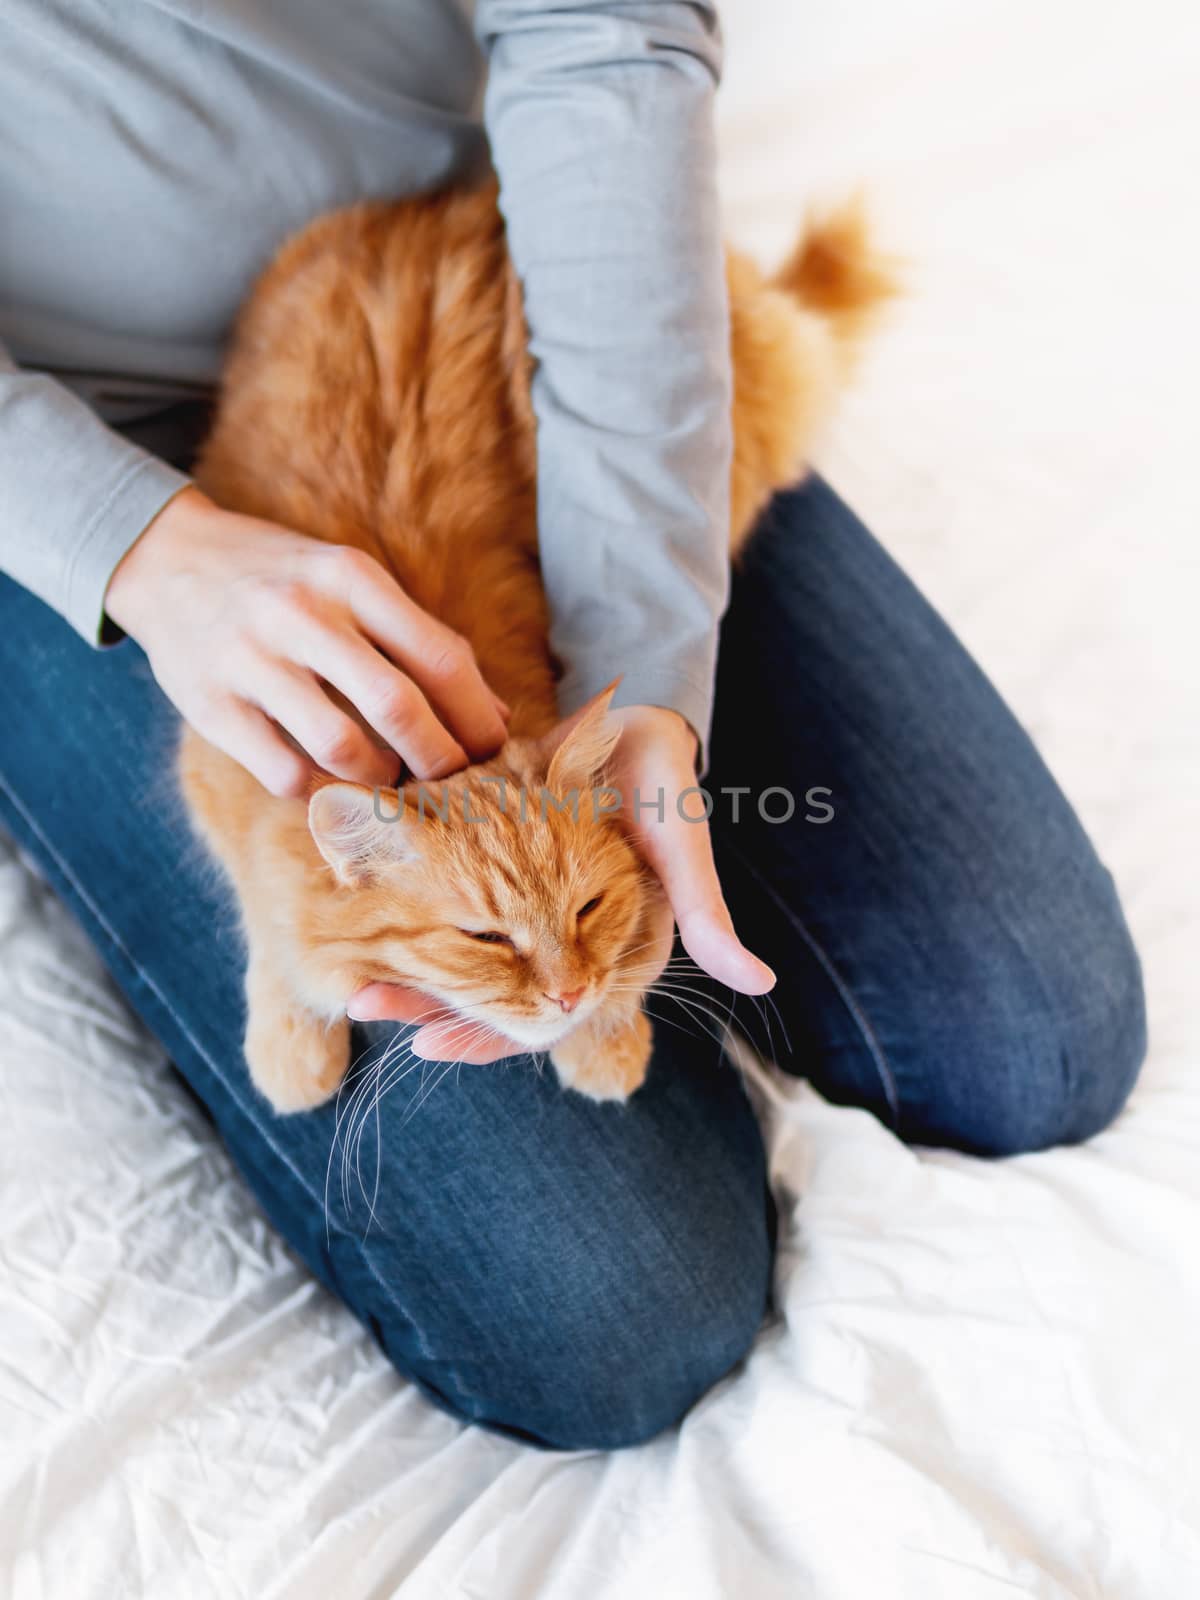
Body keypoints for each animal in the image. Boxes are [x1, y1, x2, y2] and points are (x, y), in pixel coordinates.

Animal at [178, 181, 896, 1113]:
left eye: (588, 909)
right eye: (486, 938)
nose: (567, 994)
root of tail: (466, 196)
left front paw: (607, 1036)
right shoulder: (218, 772)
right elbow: (268, 928)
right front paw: (291, 1046)